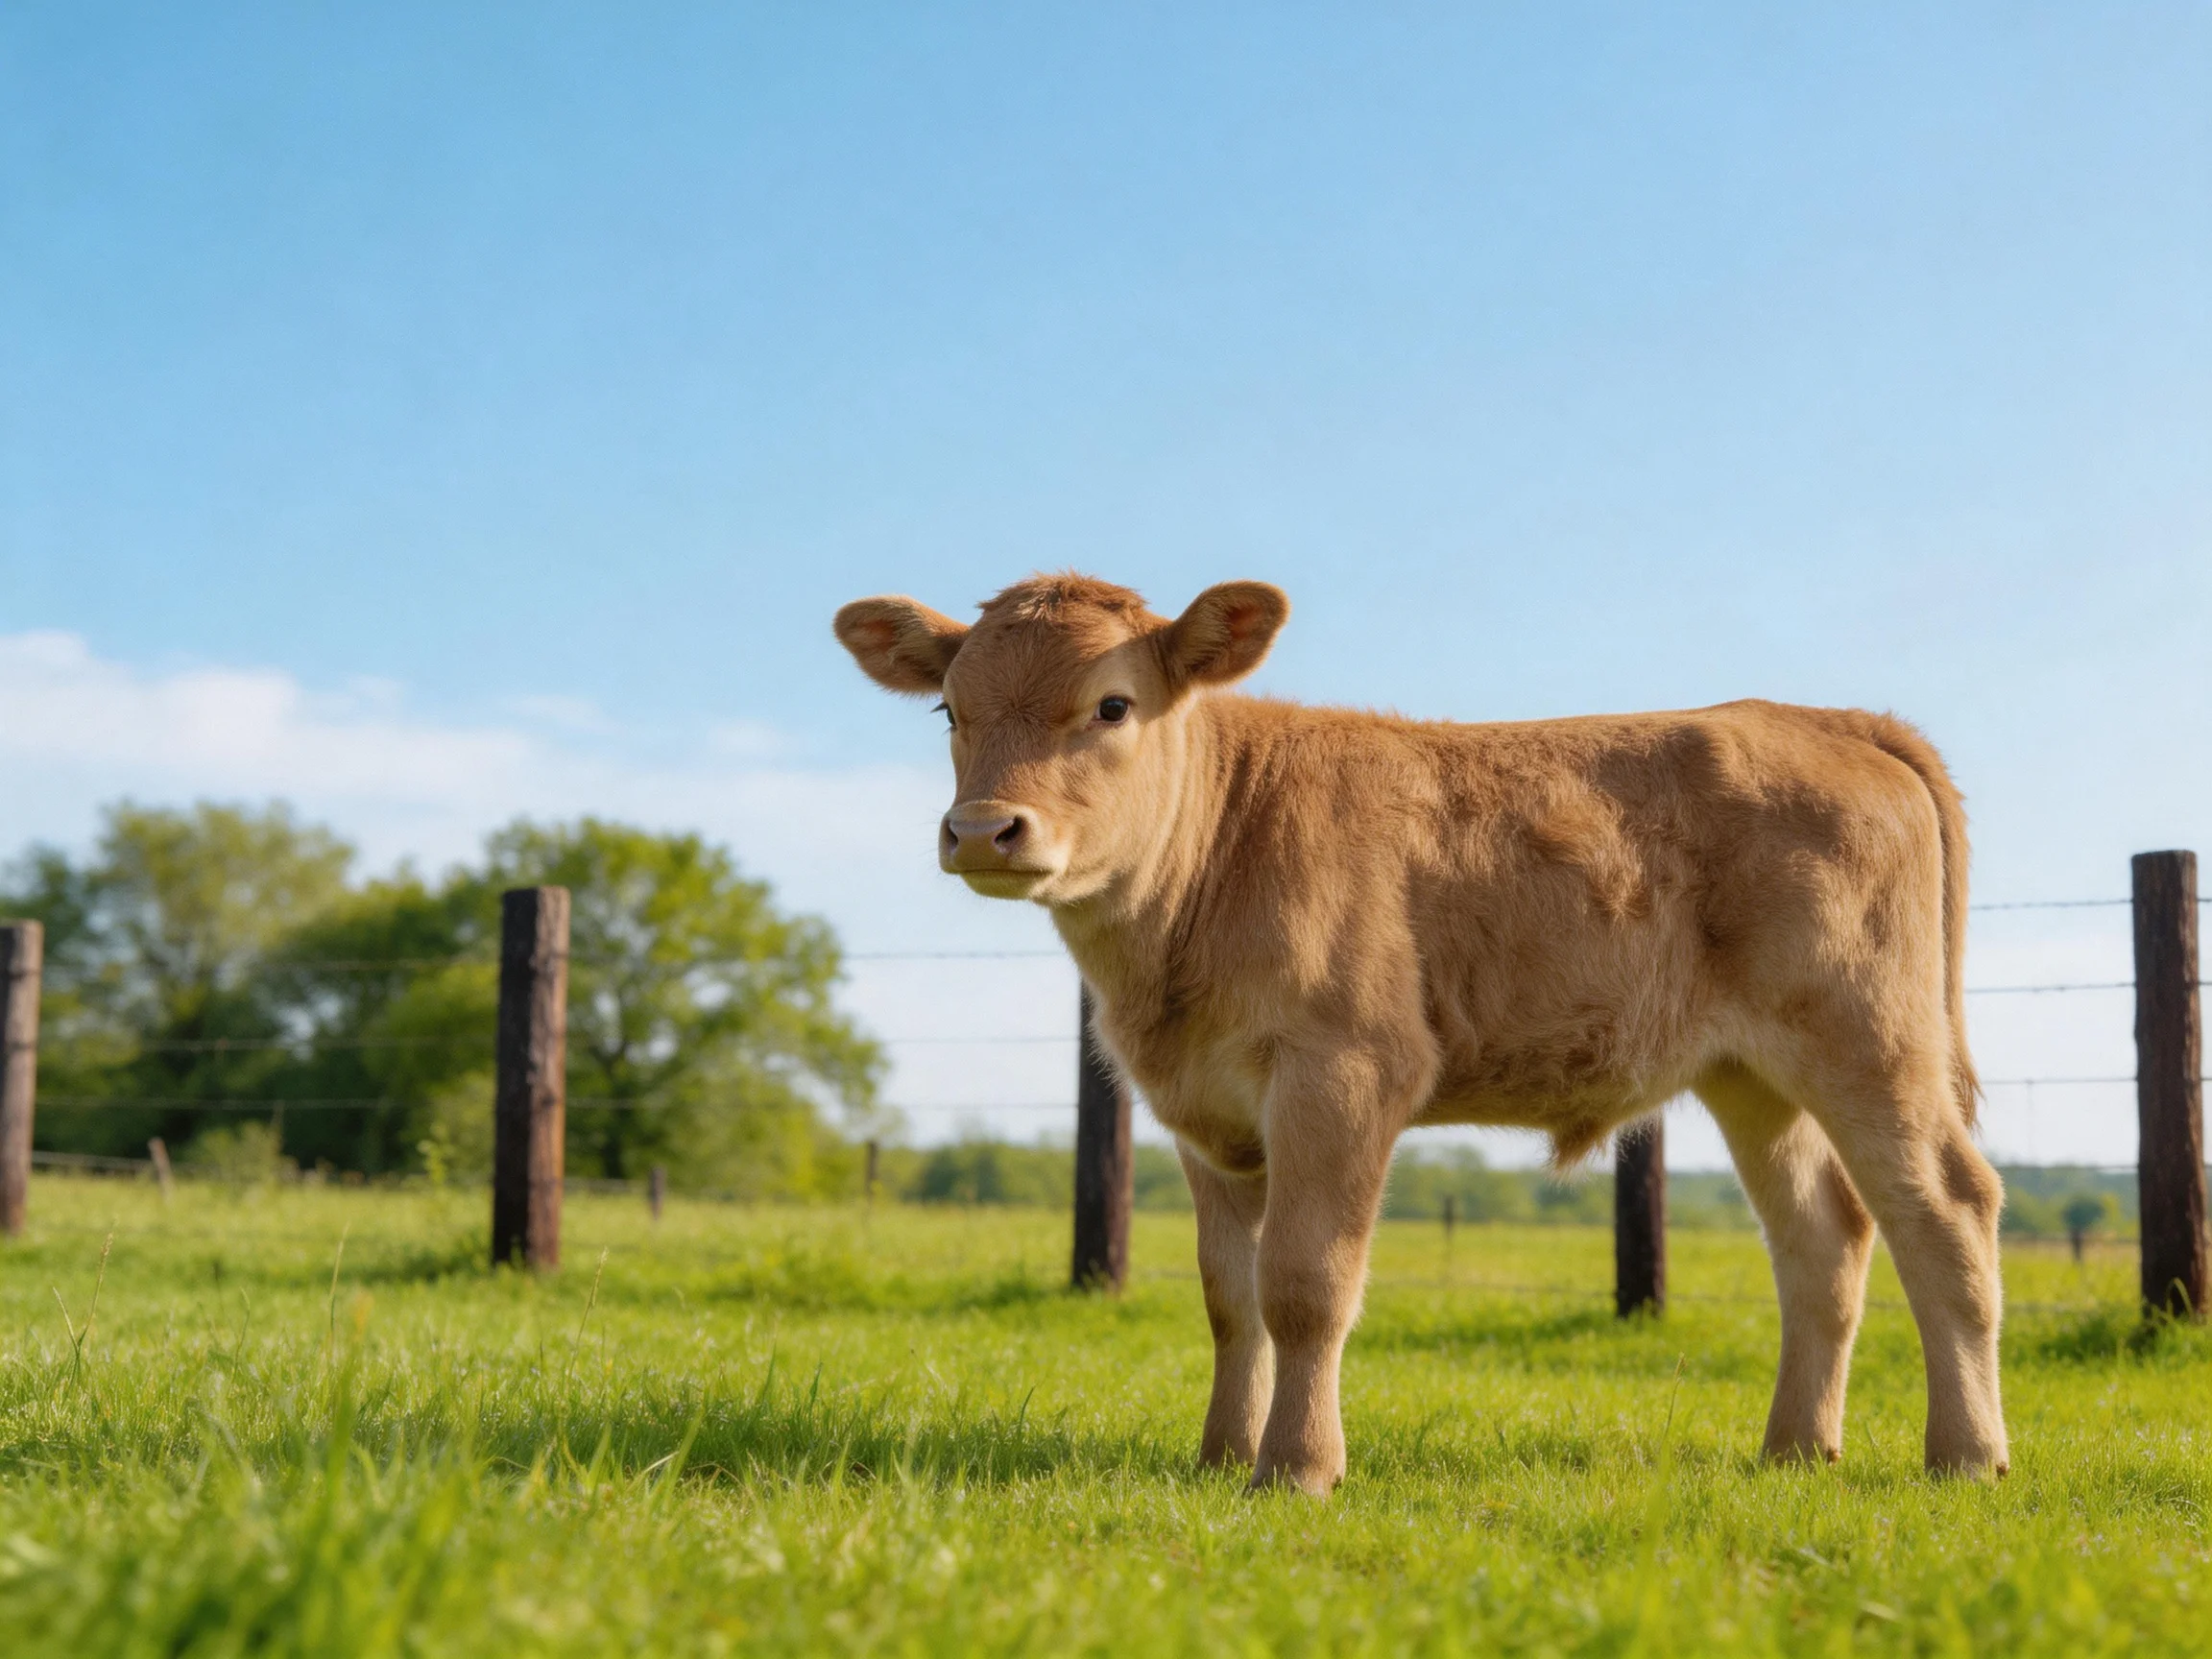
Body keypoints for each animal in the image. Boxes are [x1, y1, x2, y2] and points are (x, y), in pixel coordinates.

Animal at [834, 572, 2008, 1495]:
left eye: (1112, 705)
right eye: (948, 709)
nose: (983, 828)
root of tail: (1824, 716)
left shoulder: (1342, 1073)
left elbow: (1304, 1285)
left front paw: (1295, 1469)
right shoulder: (1204, 1109)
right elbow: (1229, 1298)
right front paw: (1219, 1458)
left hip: (1872, 1040)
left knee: (1944, 1212)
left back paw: (1966, 1455)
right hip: (1753, 1076)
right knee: (1822, 1240)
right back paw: (1796, 1451)